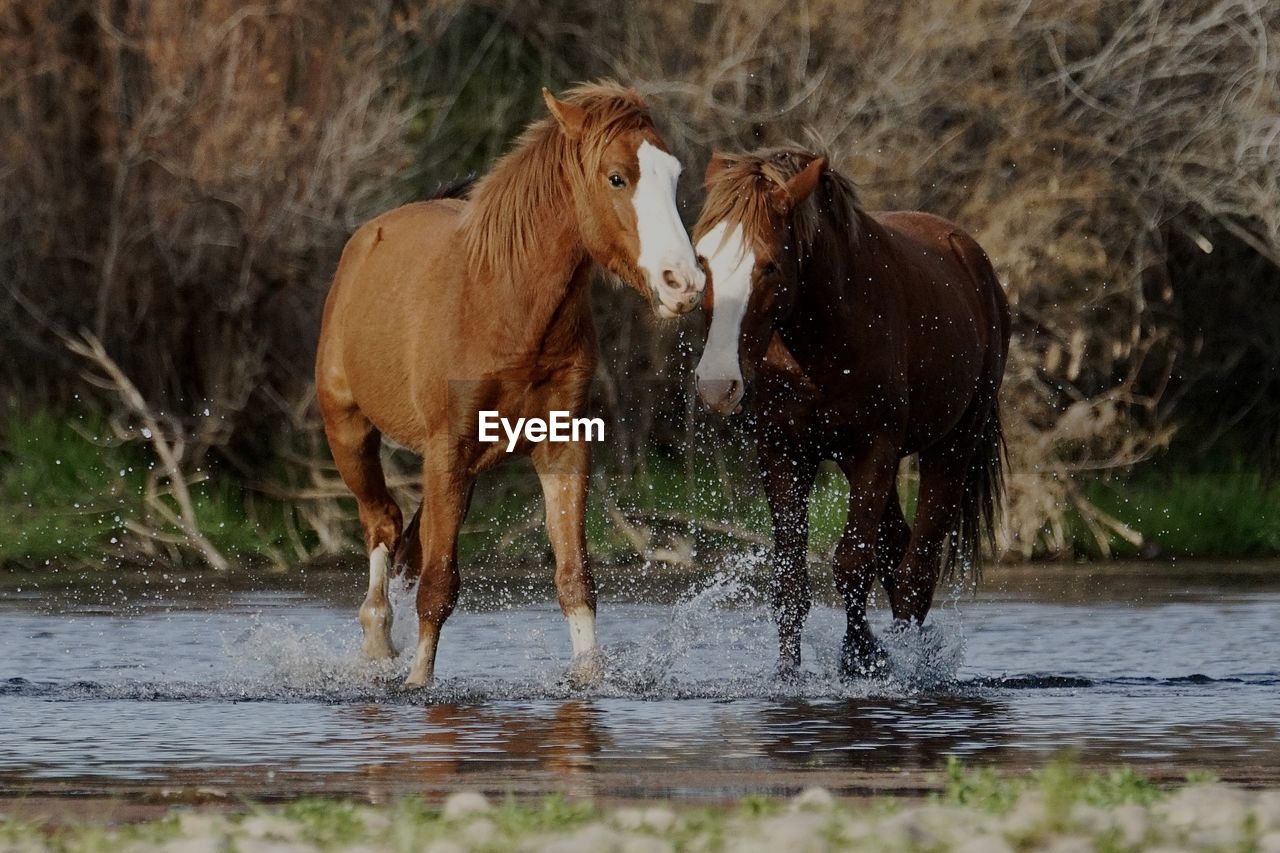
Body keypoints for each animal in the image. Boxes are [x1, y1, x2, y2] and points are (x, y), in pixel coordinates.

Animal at [316, 81, 706, 686]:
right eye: (617, 177)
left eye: (675, 174)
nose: (682, 283)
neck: (505, 305)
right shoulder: (447, 450)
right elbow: (438, 585)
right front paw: (418, 682)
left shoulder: (560, 447)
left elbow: (574, 577)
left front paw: (588, 678)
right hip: (349, 428)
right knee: (382, 522)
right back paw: (378, 642)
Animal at [691, 146, 1008, 676]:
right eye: (702, 260)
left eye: (769, 267)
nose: (717, 384)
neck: (825, 333)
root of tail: (973, 259)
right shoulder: (784, 453)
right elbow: (791, 581)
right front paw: (789, 674)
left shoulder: (873, 451)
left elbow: (851, 564)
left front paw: (861, 659)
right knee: (898, 555)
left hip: (951, 447)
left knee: (916, 568)